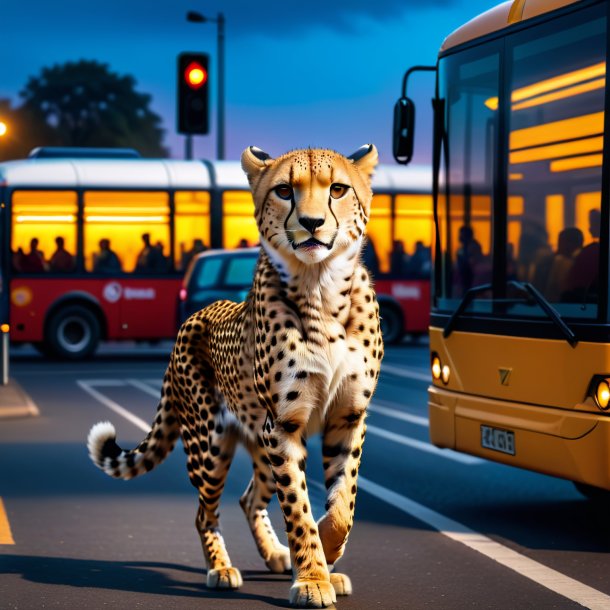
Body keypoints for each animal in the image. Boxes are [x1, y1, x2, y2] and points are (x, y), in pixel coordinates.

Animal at [86, 142, 380, 604]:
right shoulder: (285, 425)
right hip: (211, 444)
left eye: (337, 189)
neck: (321, 287)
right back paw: (222, 568)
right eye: (284, 191)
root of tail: (194, 317)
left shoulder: (346, 417)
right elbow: (299, 508)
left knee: (248, 498)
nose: (312, 223)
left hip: (258, 441)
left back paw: (277, 554)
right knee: (203, 512)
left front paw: (328, 557)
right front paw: (313, 577)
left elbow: (342, 502)